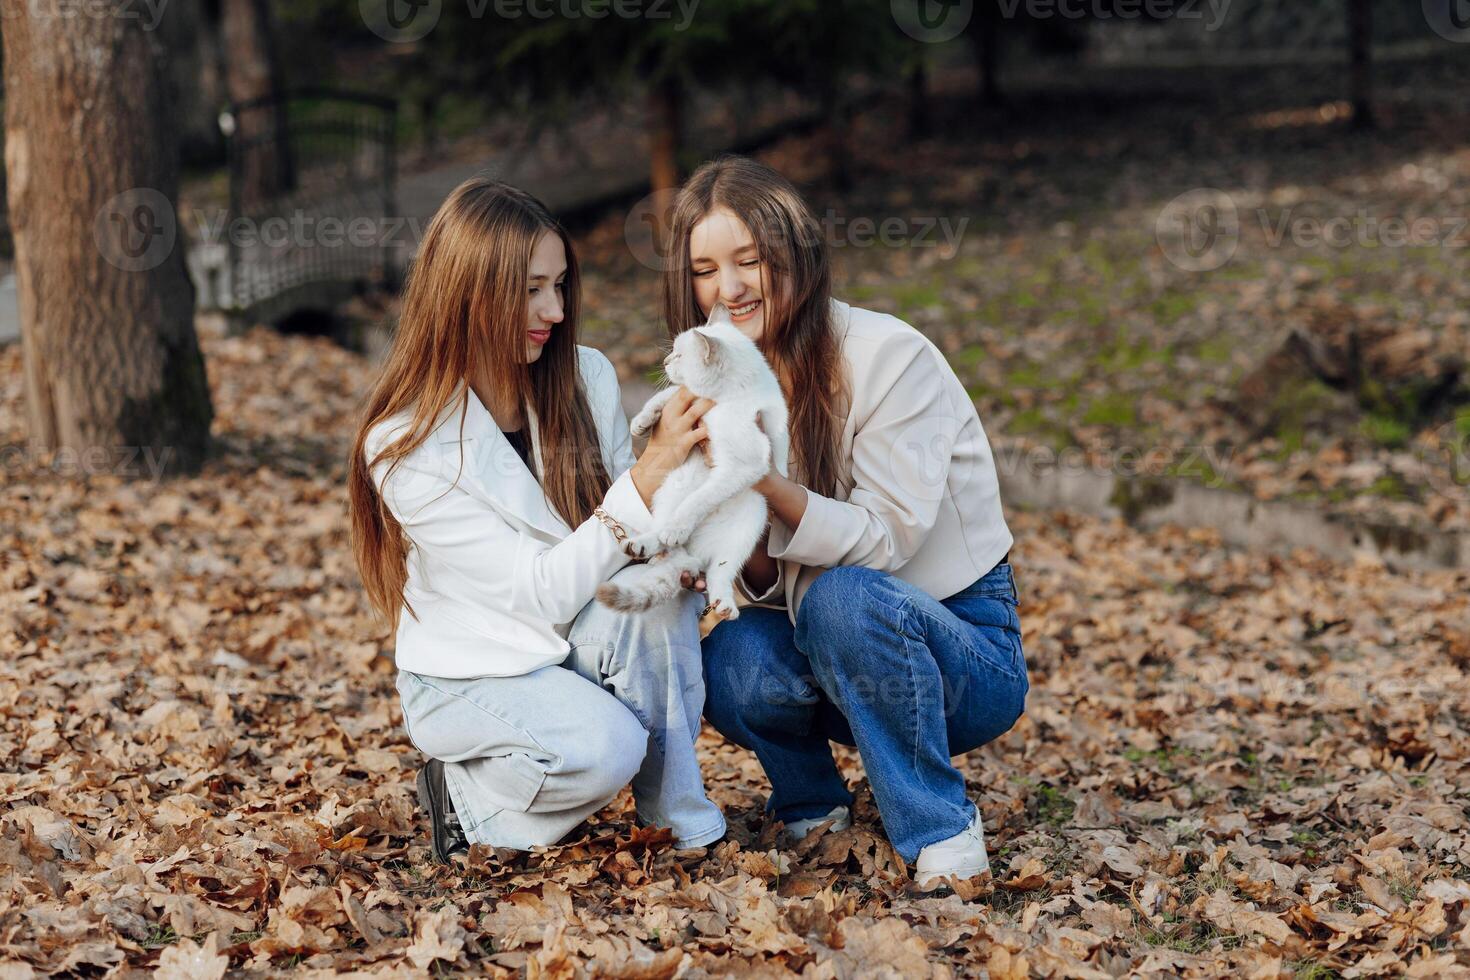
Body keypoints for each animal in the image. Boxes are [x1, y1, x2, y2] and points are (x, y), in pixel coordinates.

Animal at [593, 304, 793, 620]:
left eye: (679, 355)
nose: (664, 361)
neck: (723, 400)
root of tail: (698, 551)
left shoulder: (743, 467)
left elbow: (700, 500)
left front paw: (679, 526)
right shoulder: (690, 398)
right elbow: (669, 395)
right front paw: (642, 423)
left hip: (752, 517)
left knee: (717, 571)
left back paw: (723, 603)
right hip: (675, 484)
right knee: (670, 545)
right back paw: (644, 545)